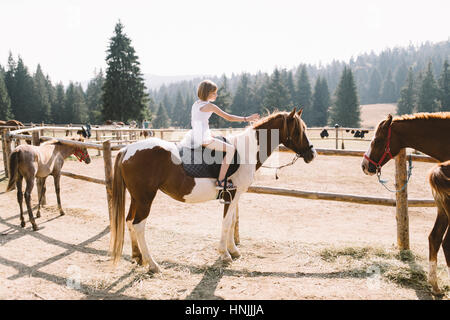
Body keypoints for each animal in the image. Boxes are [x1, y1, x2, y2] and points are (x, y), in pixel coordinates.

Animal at [110, 108, 316, 272]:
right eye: (299, 130)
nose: (312, 154)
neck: (245, 151)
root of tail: (127, 150)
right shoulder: (232, 194)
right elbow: (226, 223)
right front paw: (225, 254)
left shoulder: (235, 196)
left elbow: (231, 222)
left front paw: (233, 250)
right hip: (146, 199)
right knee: (139, 225)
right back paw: (152, 264)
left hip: (136, 198)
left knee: (129, 221)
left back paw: (138, 257)